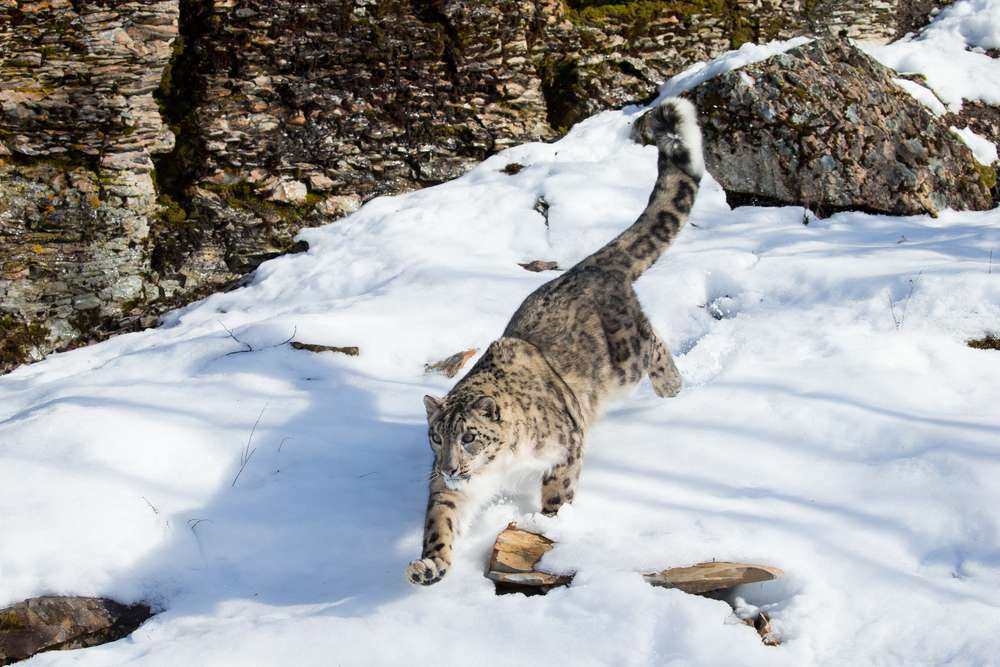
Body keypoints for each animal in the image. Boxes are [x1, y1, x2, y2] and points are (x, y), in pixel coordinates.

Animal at [407, 97, 704, 586]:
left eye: (469, 436)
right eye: (435, 436)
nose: (450, 466)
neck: (502, 467)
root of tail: (588, 265)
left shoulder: (566, 446)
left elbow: (558, 492)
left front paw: (548, 526)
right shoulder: (452, 490)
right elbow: (441, 520)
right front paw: (430, 565)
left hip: (626, 358)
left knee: (654, 343)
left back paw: (672, 388)